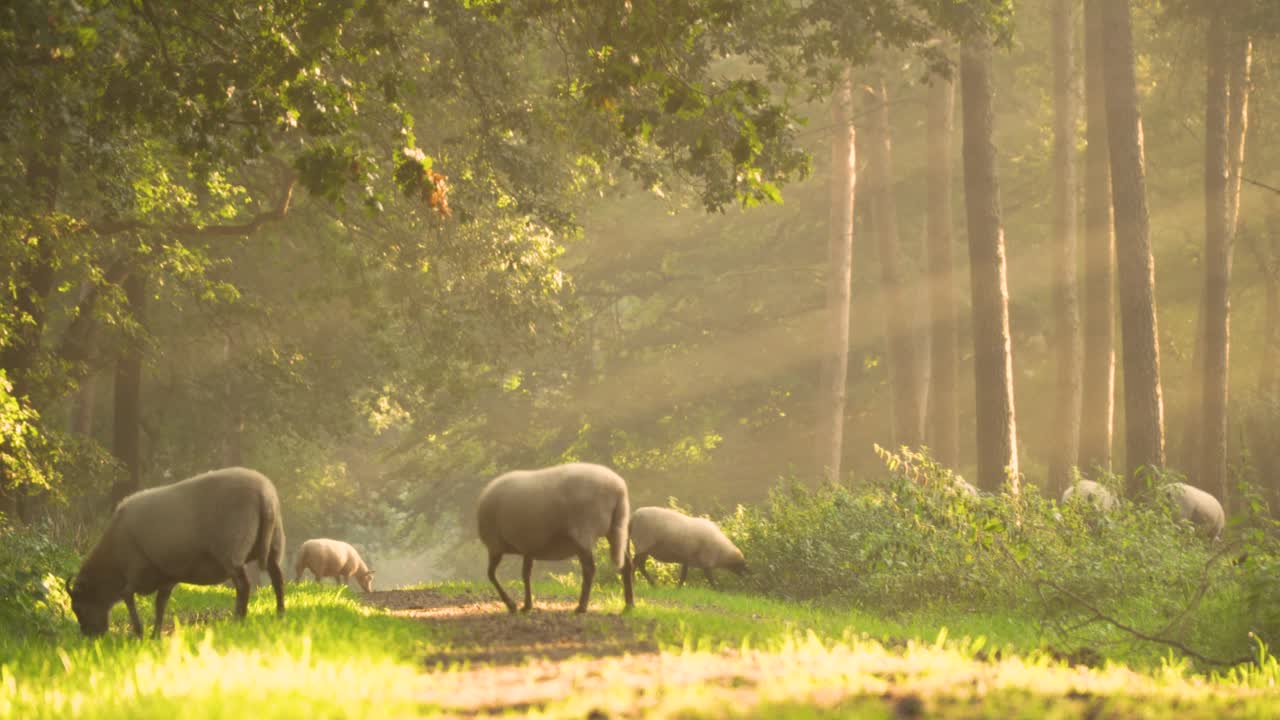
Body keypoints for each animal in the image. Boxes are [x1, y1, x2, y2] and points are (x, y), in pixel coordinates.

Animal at [68, 466, 286, 638]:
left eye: (77, 607)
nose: (90, 636)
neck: (112, 560)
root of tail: (264, 494)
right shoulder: (167, 575)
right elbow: (160, 604)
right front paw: (155, 634)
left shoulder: (136, 569)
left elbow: (128, 596)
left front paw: (139, 632)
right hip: (274, 543)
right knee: (277, 578)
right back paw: (280, 613)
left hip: (231, 549)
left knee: (243, 585)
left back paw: (238, 620)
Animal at [476, 462, 635, 614]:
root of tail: (618, 488)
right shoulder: (529, 546)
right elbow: (525, 574)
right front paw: (527, 605)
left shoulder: (495, 545)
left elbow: (491, 575)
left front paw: (512, 605)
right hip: (617, 528)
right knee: (627, 565)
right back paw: (629, 605)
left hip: (583, 531)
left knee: (589, 569)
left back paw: (581, 607)